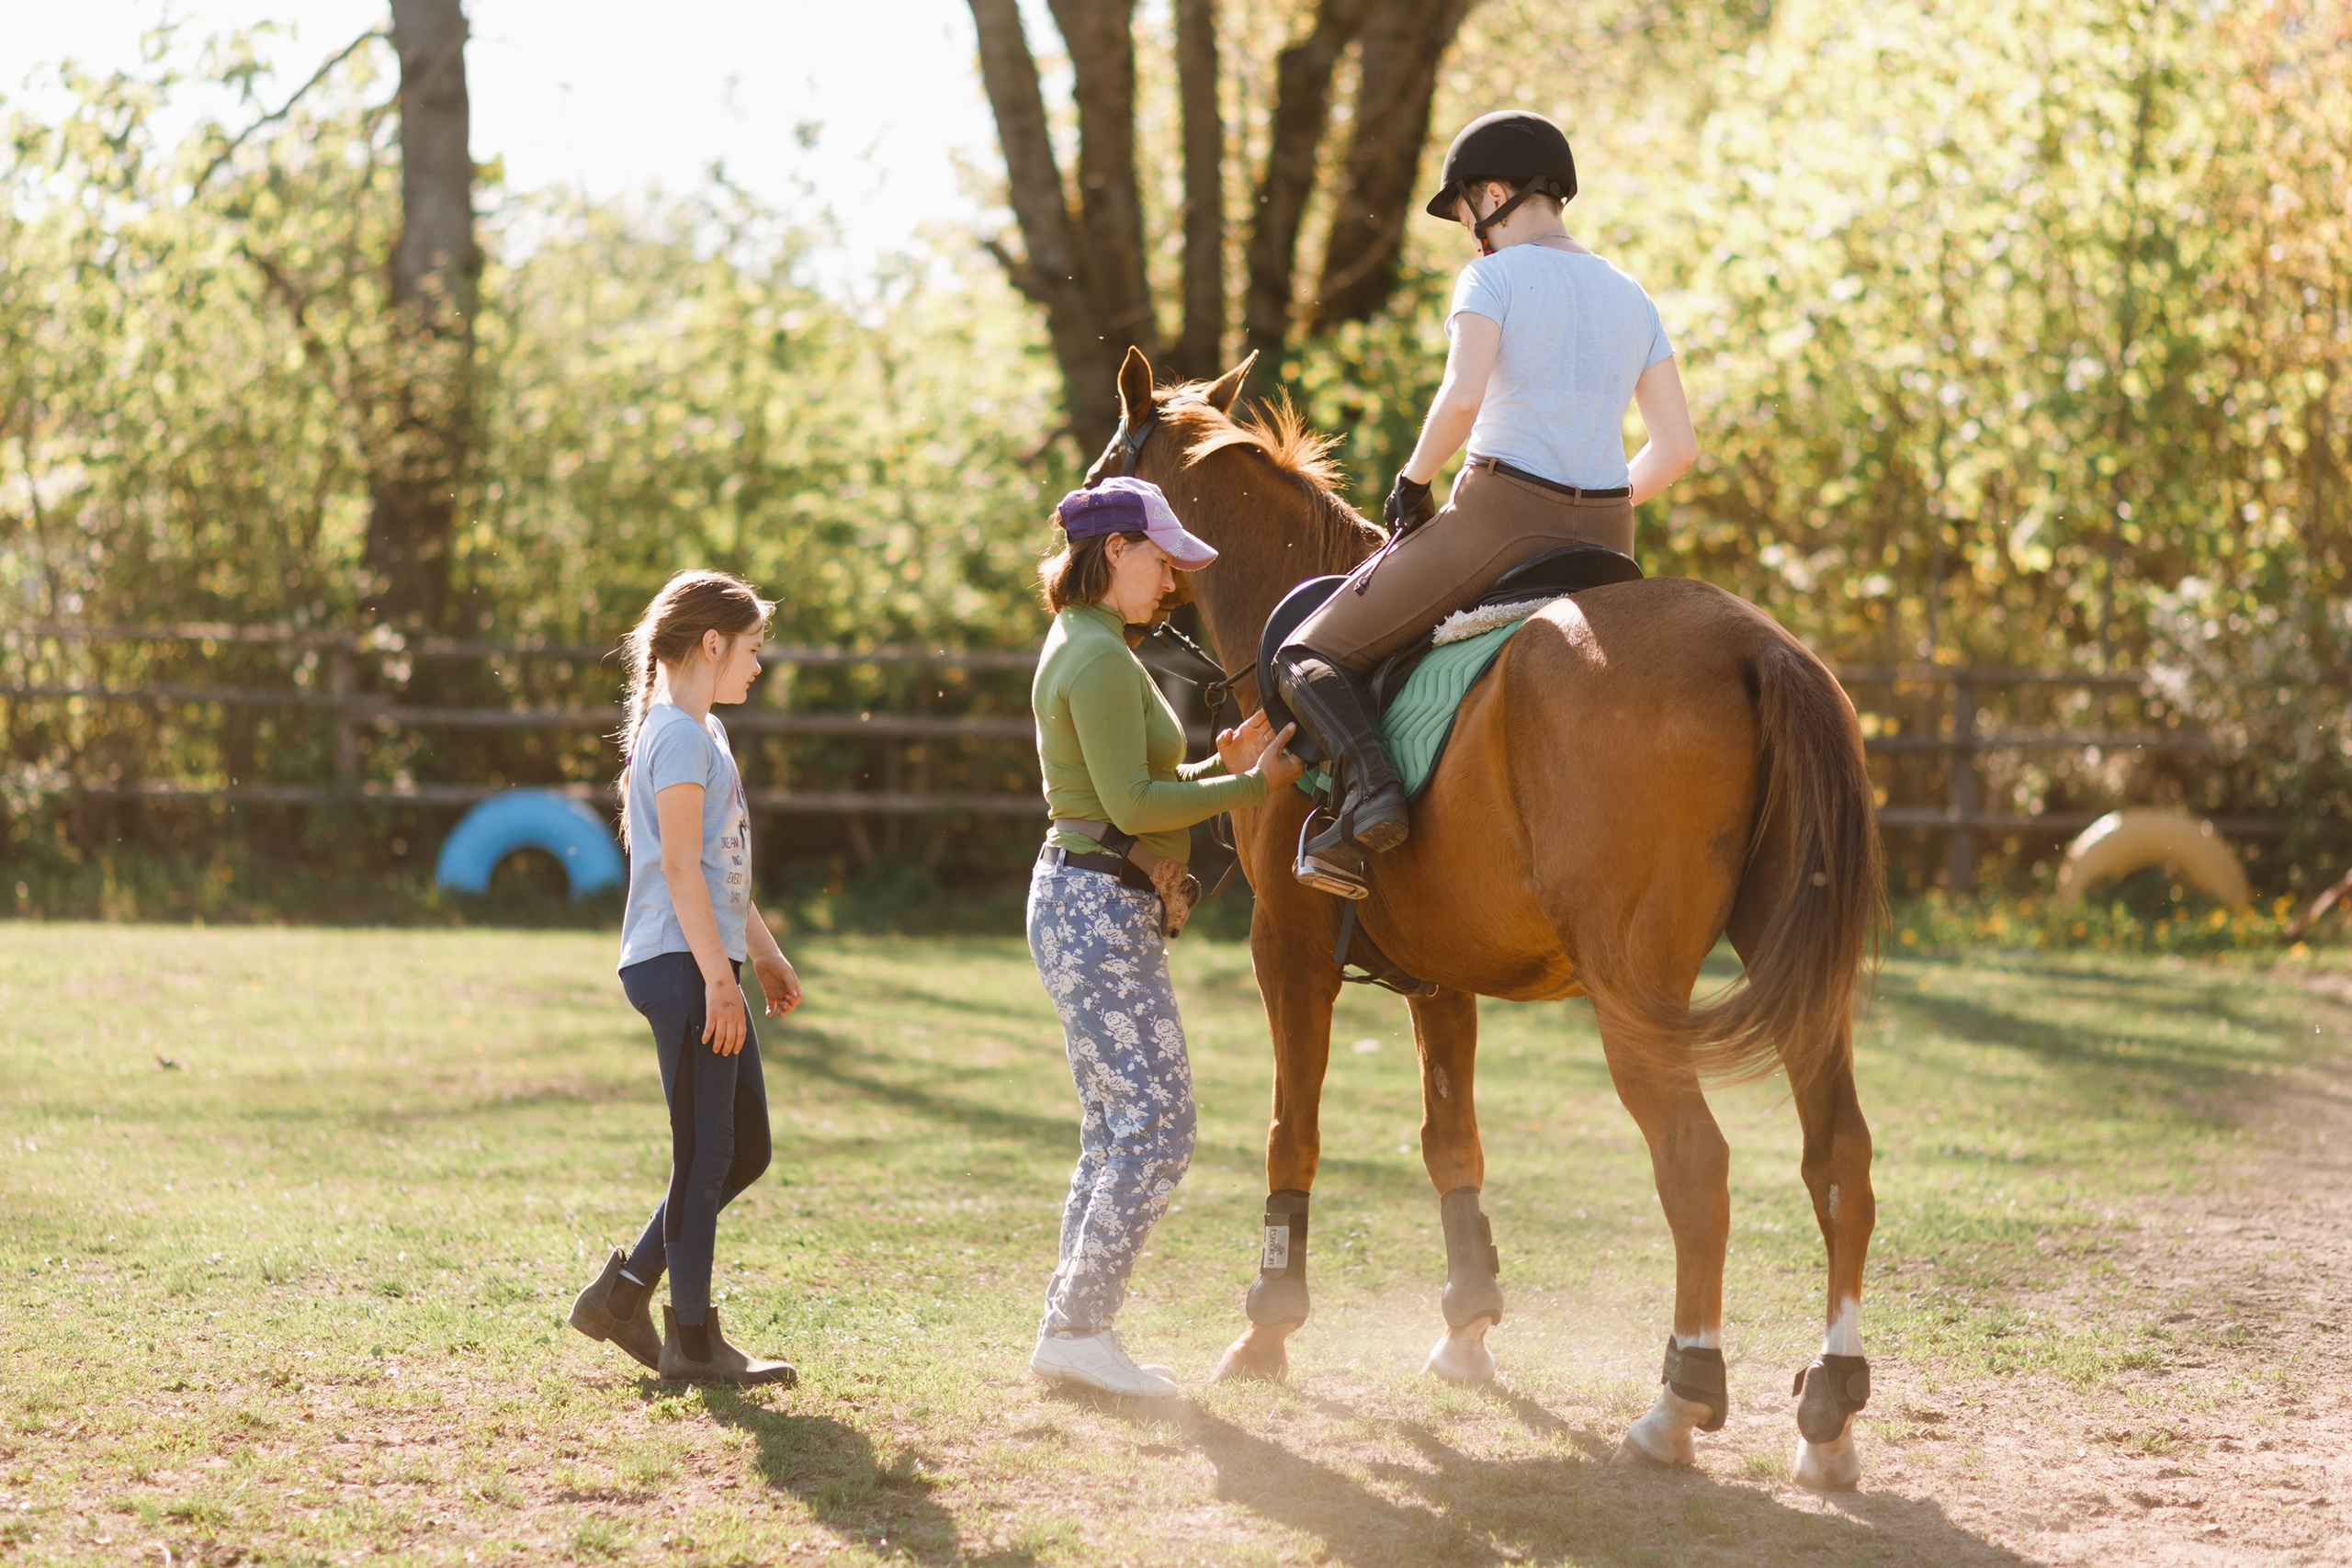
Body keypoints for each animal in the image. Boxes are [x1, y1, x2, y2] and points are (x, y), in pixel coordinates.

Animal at [1085, 348, 1886, 1491]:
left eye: (1104, 468)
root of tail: (1751, 646)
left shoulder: (1288, 946)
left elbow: (1295, 1130)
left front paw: (1268, 1325)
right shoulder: (1439, 972)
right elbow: (1448, 1141)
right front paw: (1465, 1329)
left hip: (1631, 992)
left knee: (1696, 1164)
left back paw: (1677, 1403)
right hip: (1796, 975)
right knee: (1839, 1161)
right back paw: (1827, 1414)